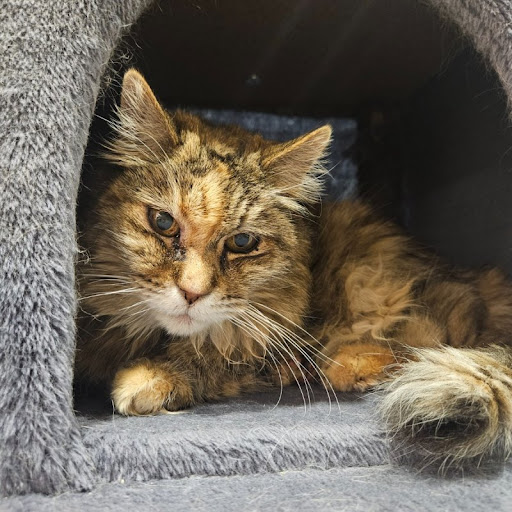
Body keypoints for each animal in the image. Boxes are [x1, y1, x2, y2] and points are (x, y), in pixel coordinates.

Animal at [76, 68, 512, 470]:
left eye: (241, 243)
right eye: (164, 223)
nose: (192, 293)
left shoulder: (268, 338)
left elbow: (212, 360)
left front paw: (148, 380)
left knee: (422, 343)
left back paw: (354, 367)